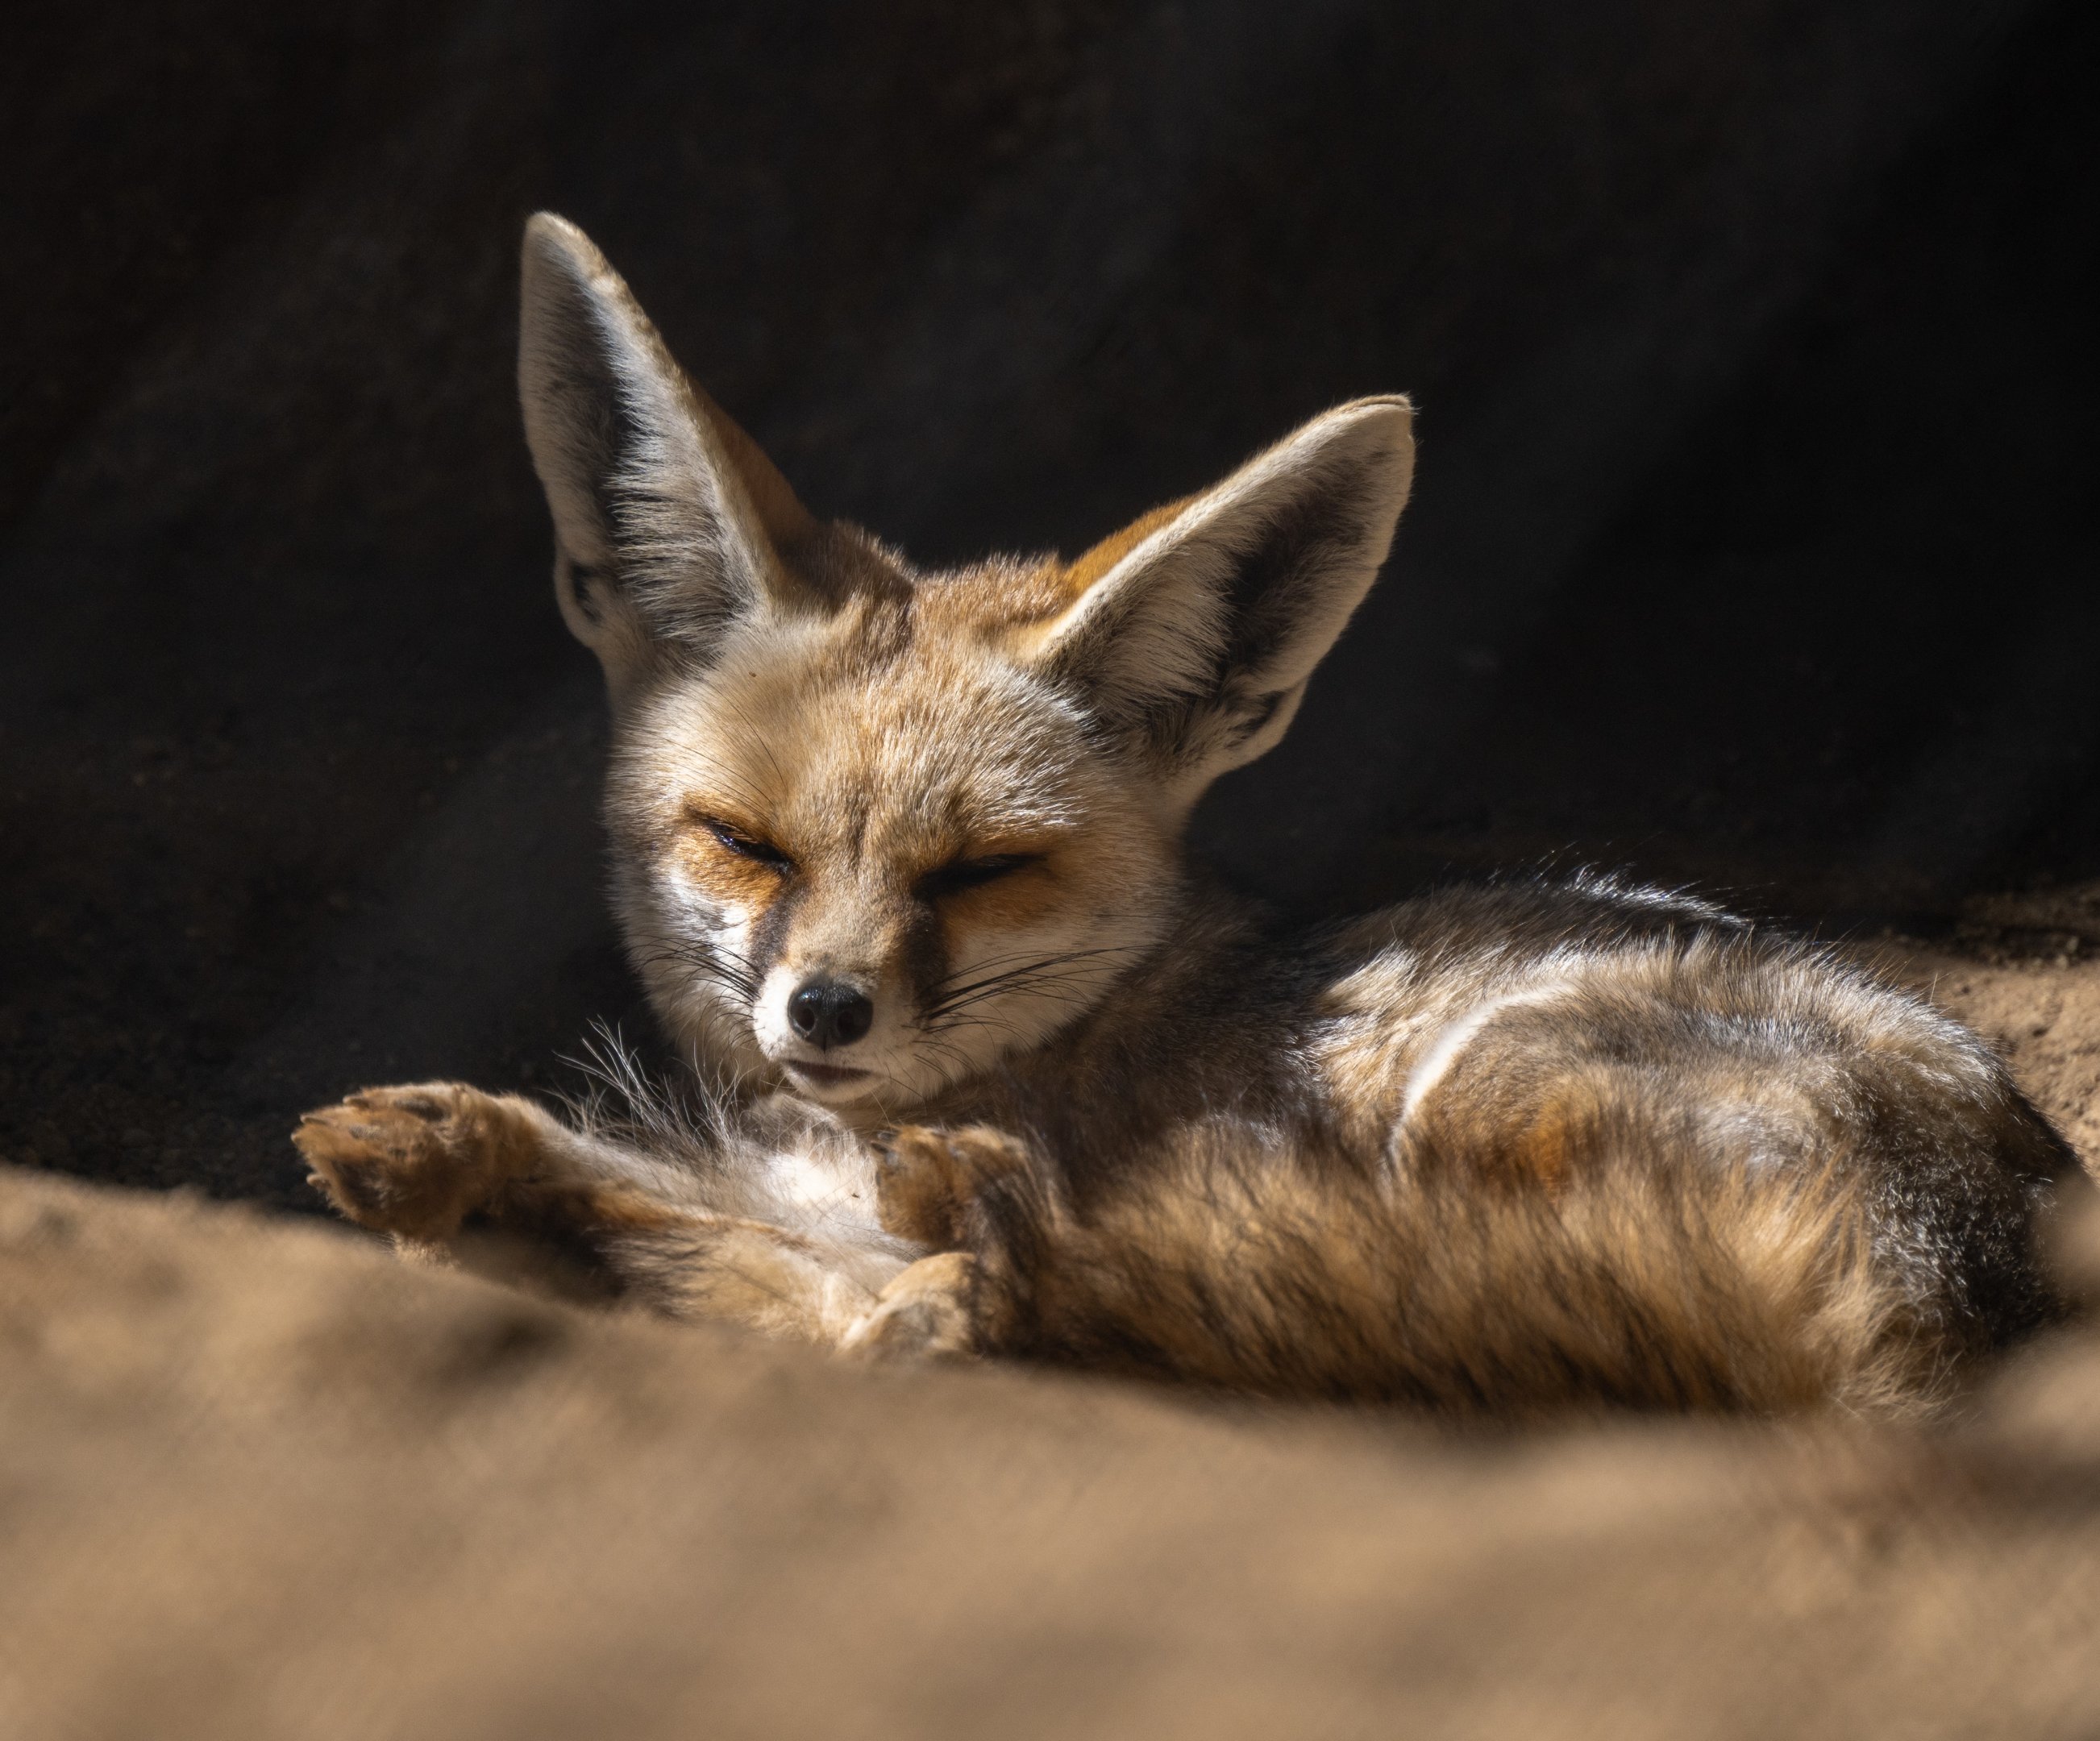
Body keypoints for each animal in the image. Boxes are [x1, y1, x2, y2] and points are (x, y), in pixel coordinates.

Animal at [296, 211, 2087, 1417]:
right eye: (745, 843)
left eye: (988, 870)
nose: (828, 1010)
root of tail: (1993, 1266)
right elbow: (670, 1184)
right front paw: (448, 1143)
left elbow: (795, 1251)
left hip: (1474, 1092)